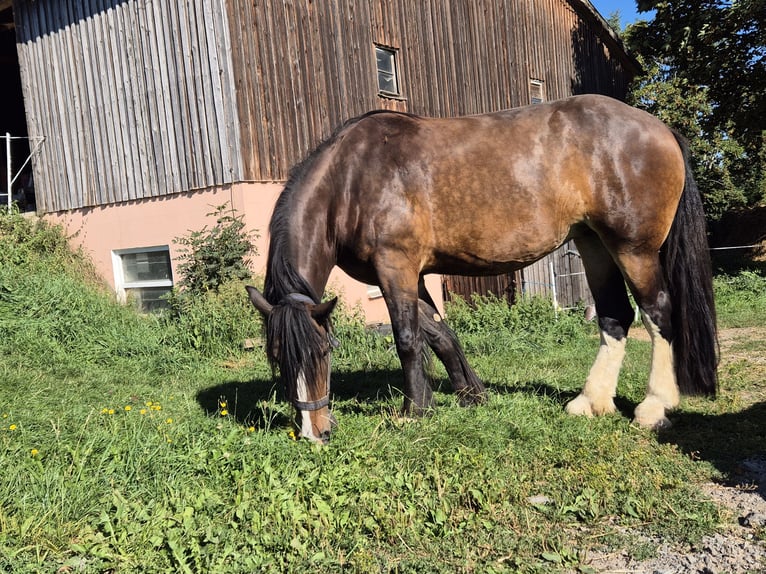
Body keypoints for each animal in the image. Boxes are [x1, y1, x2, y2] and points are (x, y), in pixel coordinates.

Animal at [246, 94, 718, 444]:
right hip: (593, 242)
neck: (351, 179)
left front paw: (413, 411)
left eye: (324, 353)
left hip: (633, 248)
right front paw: (471, 395)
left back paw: (654, 407)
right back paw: (590, 403)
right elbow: (440, 334)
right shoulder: (408, 274)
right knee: (615, 315)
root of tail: (659, 128)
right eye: (278, 359)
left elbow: (407, 338)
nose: (314, 433)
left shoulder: (396, 265)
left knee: (657, 311)